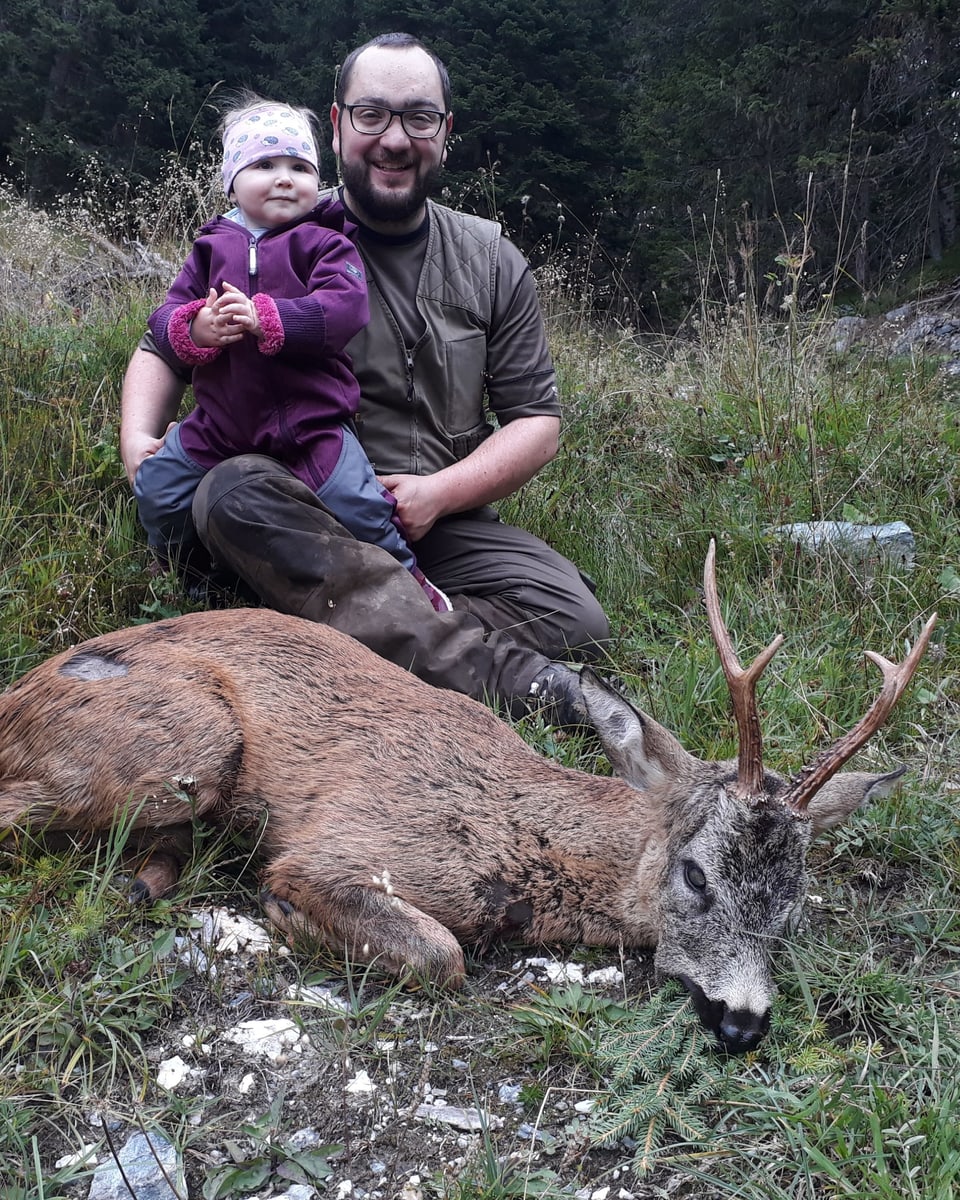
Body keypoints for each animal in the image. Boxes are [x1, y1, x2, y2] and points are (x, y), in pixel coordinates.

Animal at [0, 544, 931, 1051]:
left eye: (793, 902)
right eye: (696, 875)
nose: (743, 1023)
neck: (524, 841)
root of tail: (19, 698)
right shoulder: (339, 847)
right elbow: (439, 953)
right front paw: (284, 913)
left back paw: (145, 881)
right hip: (192, 745)